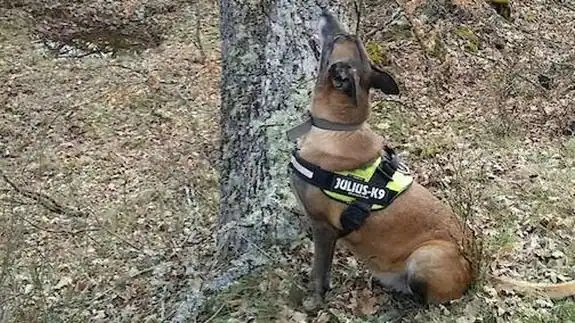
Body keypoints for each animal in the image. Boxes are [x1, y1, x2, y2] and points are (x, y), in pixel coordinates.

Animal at [288, 9, 575, 308]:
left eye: (337, 39)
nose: (325, 11)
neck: (338, 127)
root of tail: (478, 266)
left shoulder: (322, 227)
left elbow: (319, 272)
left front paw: (314, 300)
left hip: (424, 257)